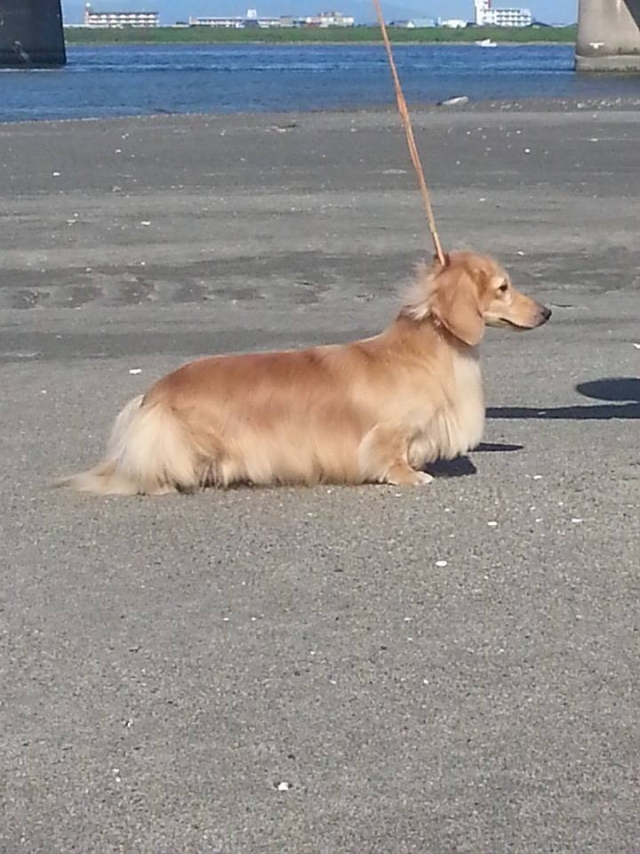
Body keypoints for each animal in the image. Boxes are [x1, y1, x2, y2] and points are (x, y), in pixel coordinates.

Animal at [62, 251, 550, 495]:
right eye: (504, 287)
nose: (547, 312)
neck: (426, 353)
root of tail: (152, 398)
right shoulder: (388, 433)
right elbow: (389, 456)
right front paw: (411, 476)